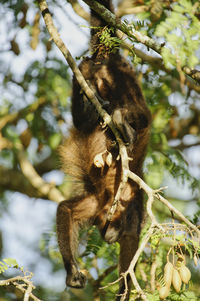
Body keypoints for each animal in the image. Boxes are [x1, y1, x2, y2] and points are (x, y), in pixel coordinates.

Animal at [55, 1, 151, 298]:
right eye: (107, 230)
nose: (108, 238)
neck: (111, 203)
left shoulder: (107, 207)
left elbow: (65, 210)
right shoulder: (116, 209)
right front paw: (73, 272)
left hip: (108, 74)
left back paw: (100, 107)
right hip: (122, 73)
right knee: (142, 114)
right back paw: (120, 121)